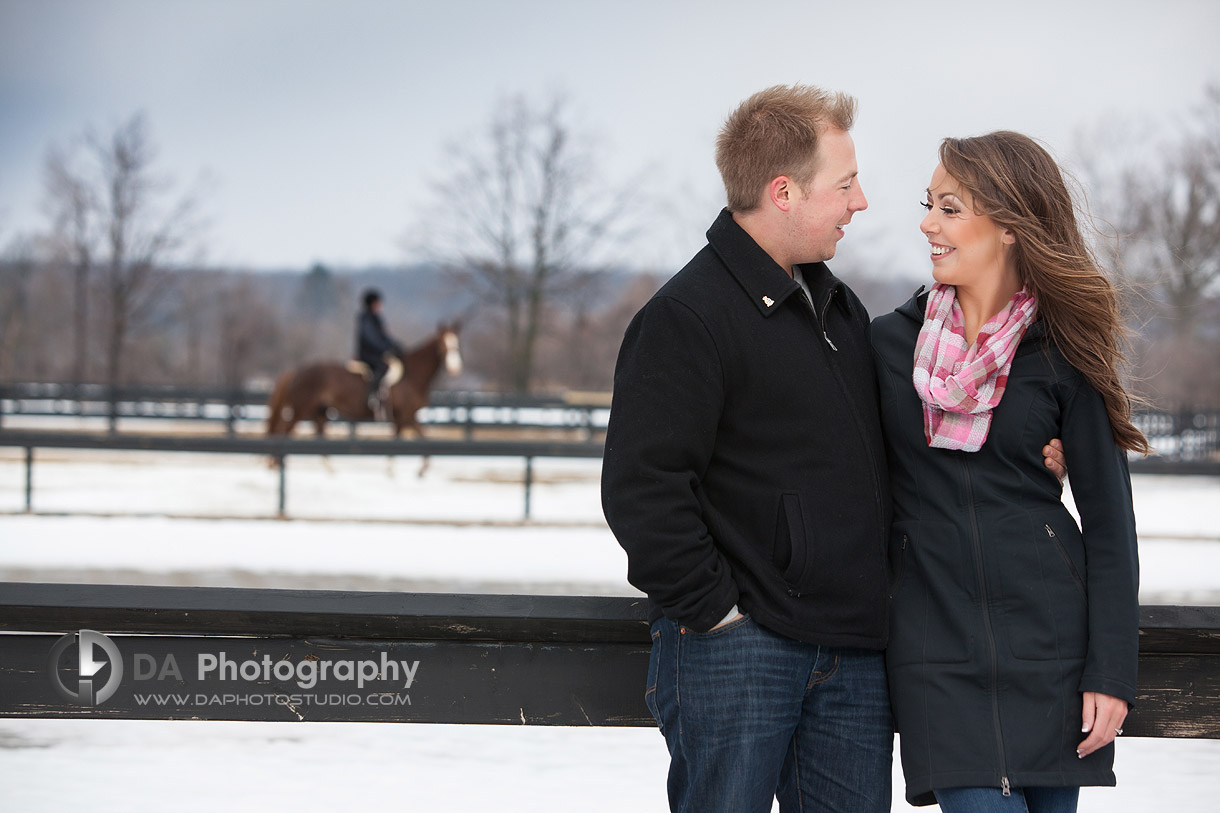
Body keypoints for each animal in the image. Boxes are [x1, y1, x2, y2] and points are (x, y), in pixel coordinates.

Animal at [267, 322, 461, 437]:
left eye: (456, 344)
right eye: (443, 345)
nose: (455, 367)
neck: (411, 375)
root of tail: (295, 371)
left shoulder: (405, 417)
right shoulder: (405, 415)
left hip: (318, 411)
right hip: (300, 409)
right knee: (282, 430)